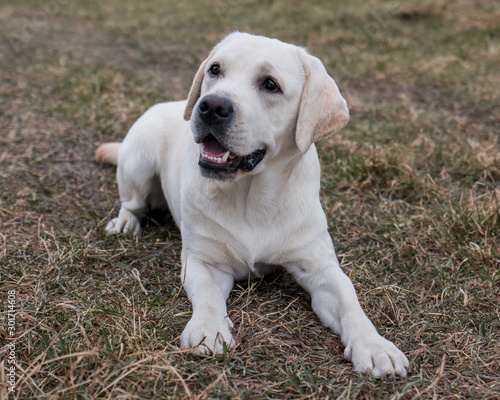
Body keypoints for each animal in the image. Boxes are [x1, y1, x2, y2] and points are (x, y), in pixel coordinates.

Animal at [94, 32, 410, 378]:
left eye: (270, 84)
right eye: (215, 69)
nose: (211, 105)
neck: (252, 198)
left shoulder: (320, 267)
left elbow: (350, 302)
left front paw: (375, 345)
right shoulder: (203, 261)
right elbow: (208, 296)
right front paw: (208, 329)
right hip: (139, 161)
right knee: (133, 203)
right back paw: (126, 222)